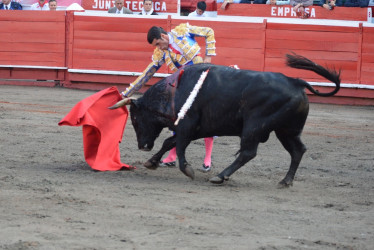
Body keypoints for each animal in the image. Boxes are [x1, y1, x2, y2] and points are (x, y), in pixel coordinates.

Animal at [110, 53, 338, 186]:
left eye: (135, 119)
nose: (143, 146)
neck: (174, 92)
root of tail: (295, 81)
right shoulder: (196, 128)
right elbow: (169, 142)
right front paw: (152, 162)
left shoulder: (187, 124)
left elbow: (180, 145)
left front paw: (187, 169)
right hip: (286, 130)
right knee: (298, 150)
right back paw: (286, 181)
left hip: (255, 126)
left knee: (248, 152)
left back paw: (220, 176)